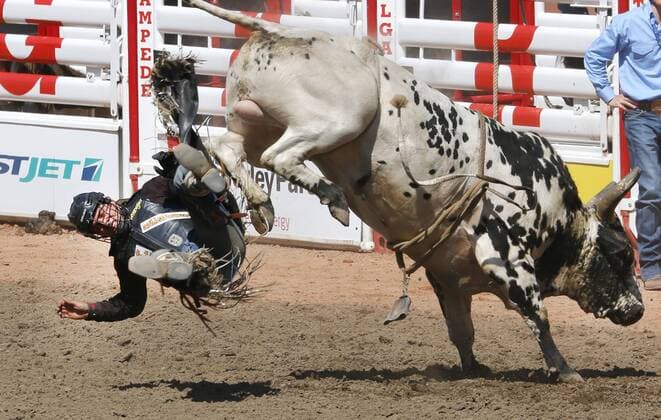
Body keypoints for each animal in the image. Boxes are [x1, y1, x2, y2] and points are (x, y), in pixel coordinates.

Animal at [157, 0, 644, 383]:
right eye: (622, 254)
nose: (639, 310)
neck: (555, 212)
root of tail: (281, 30)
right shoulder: (508, 254)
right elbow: (537, 316)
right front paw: (566, 370)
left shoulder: (448, 275)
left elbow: (462, 329)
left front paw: (473, 368)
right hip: (340, 117)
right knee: (281, 156)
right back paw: (331, 198)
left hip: (252, 119)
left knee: (229, 148)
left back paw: (258, 203)